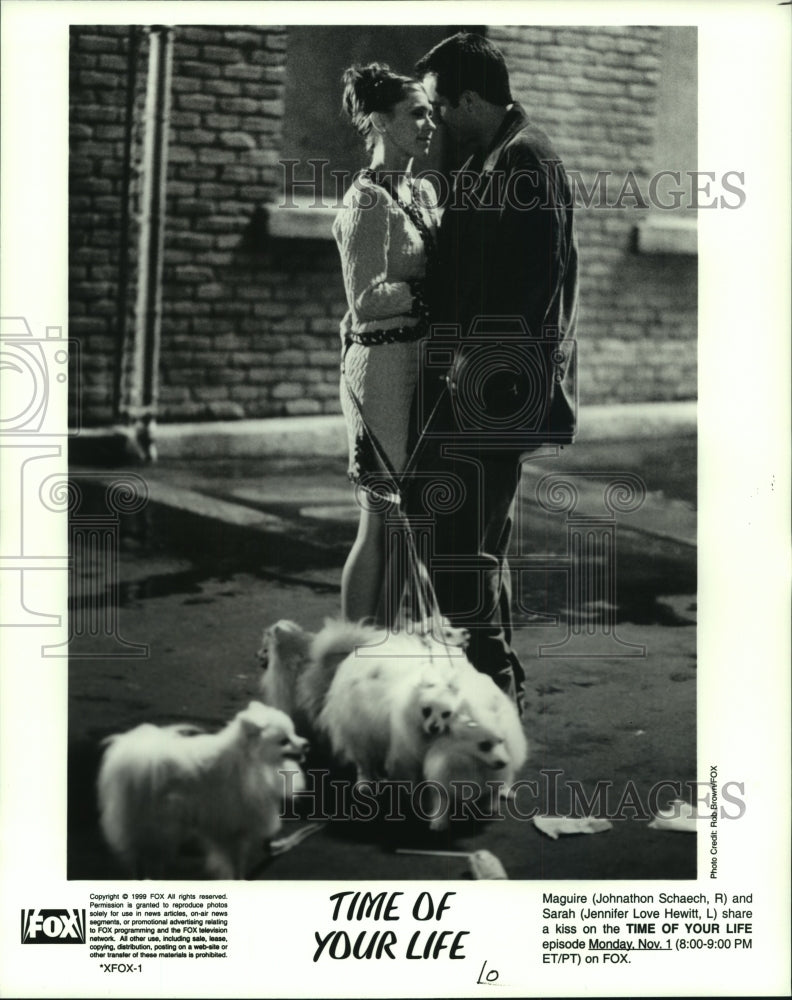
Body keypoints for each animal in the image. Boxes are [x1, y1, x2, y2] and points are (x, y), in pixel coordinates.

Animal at [97, 700, 308, 880]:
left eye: (294, 732)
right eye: (284, 741)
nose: (307, 744)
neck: (252, 764)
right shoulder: (234, 830)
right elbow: (237, 865)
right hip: (157, 828)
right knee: (142, 858)